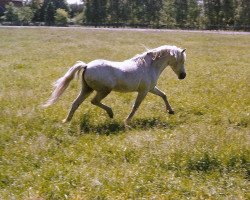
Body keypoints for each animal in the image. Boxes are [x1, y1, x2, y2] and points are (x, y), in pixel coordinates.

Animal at [44, 46, 187, 126]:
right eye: (181, 60)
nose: (183, 76)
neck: (149, 66)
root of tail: (87, 66)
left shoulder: (150, 89)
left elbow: (163, 95)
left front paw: (171, 111)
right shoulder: (144, 91)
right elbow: (136, 106)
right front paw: (127, 121)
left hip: (87, 89)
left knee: (75, 104)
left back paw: (66, 121)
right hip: (104, 90)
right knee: (94, 101)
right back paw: (111, 113)